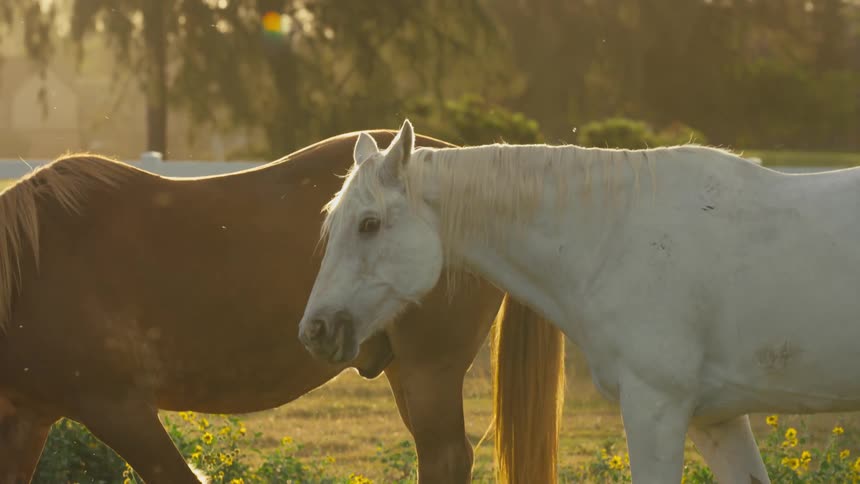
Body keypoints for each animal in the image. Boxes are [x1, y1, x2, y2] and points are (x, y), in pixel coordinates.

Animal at [300, 118, 860, 483]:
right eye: (330, 221)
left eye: (369, 224)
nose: (315, 329)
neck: (616, 239)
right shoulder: (716, 419)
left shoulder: (657, 410)